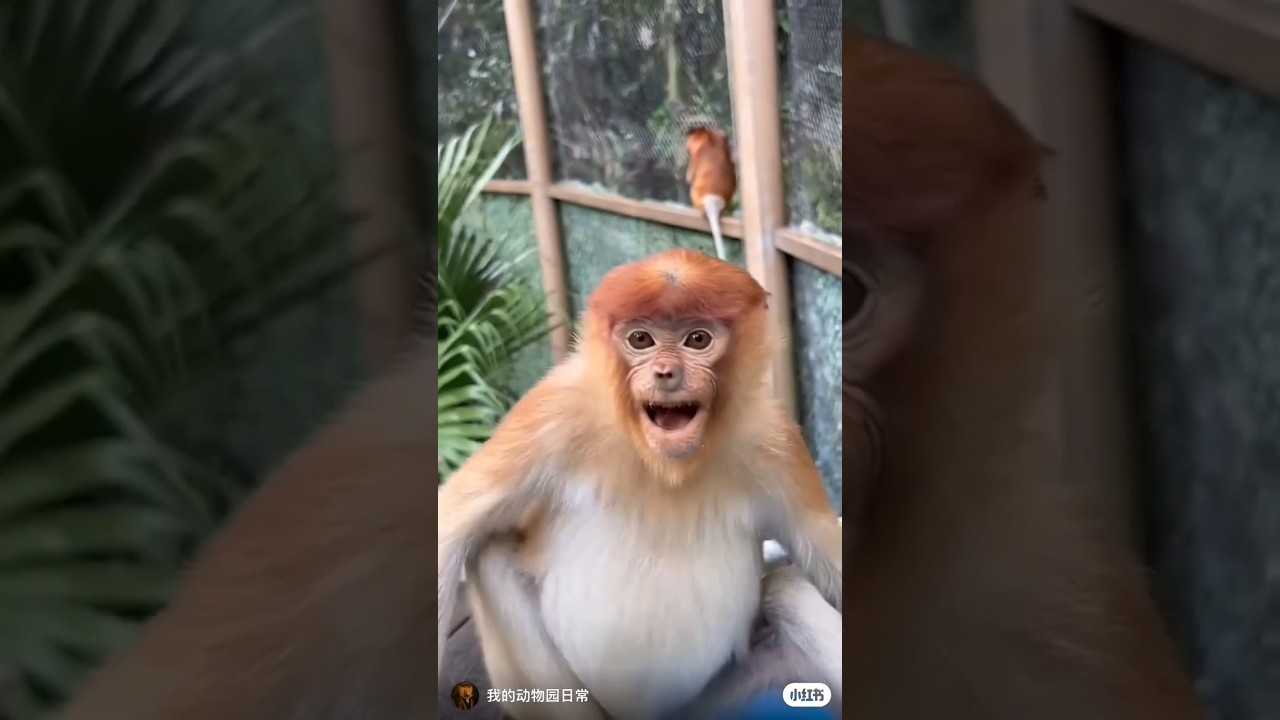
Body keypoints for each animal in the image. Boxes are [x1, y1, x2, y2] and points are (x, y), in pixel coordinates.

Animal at [437, 248, 843, 720]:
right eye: (641, 340)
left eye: (698, 339)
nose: (666, 373)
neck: (663, 465)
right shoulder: (555, 411)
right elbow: (451, 528)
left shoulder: (775, 440)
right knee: (489, 556)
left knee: (788, 592)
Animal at [685, 126, 737, 260]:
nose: (687, 144)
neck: (709, 139)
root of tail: (714, 200)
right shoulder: (721, 137)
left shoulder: (696, 156)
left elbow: (689, 177)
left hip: (696, 197)